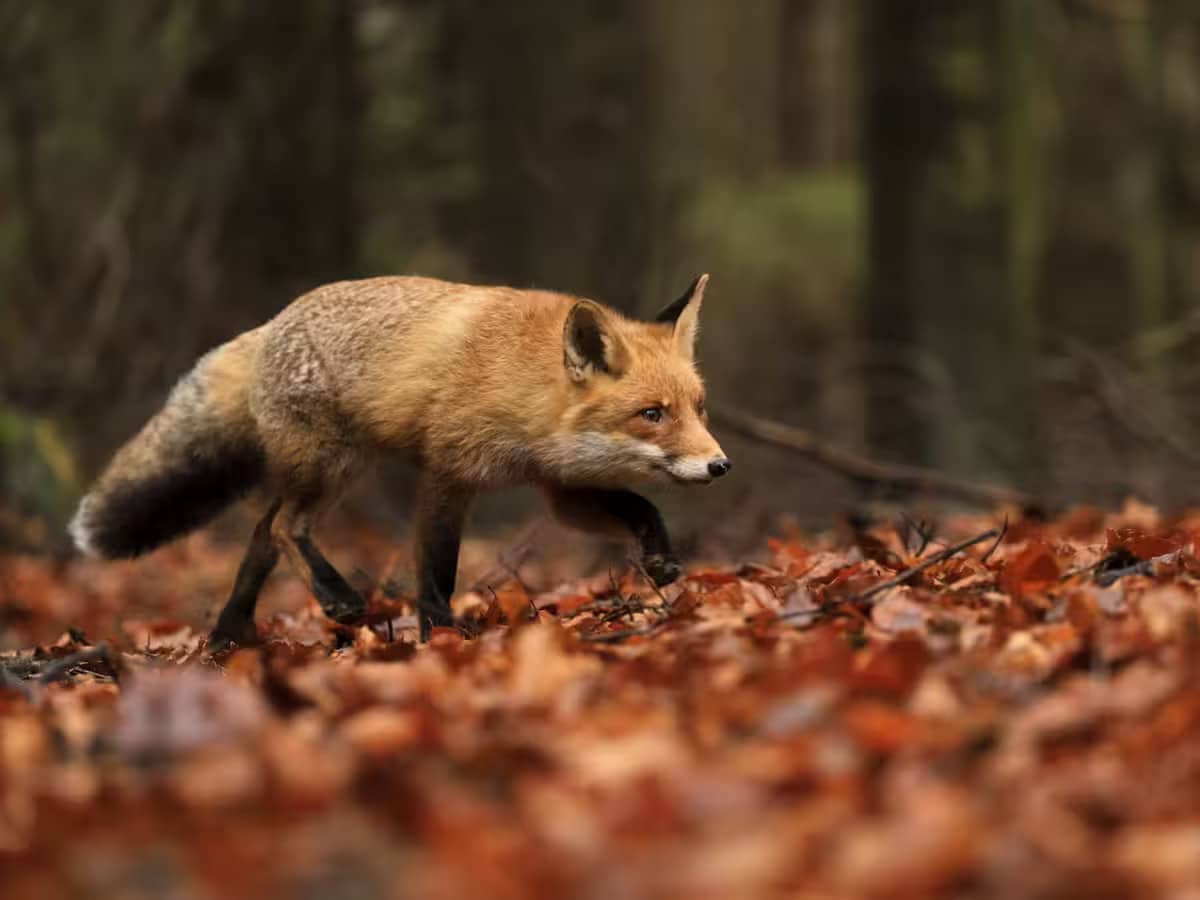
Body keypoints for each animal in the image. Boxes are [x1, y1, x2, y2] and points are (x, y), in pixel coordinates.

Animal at [69, 274, 731, 647]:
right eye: (652, 413)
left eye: (699, 408)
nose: (720, 465)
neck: (525, 388)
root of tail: (270, 323)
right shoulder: (448, 471)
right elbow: (435, 569)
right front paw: (440, 635)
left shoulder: (558, 485)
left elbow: (640, 506)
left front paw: (660, 558)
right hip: (331, 465)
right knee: (282, 527)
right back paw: (335, 598)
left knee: (260, 534)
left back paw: (230, 637)